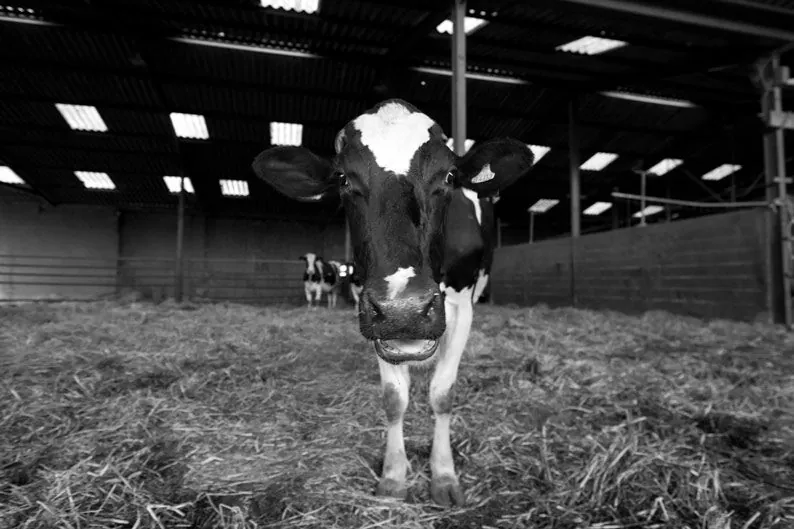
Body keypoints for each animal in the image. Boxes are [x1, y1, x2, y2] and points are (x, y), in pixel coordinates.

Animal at [253, 99, 534, 506]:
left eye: (449, 176)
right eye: (343, 179)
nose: (405, 310)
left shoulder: (462, 308)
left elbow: (443, 393)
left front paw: (444, 475)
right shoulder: (374, 319)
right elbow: (393, 398)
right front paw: (394, 474)